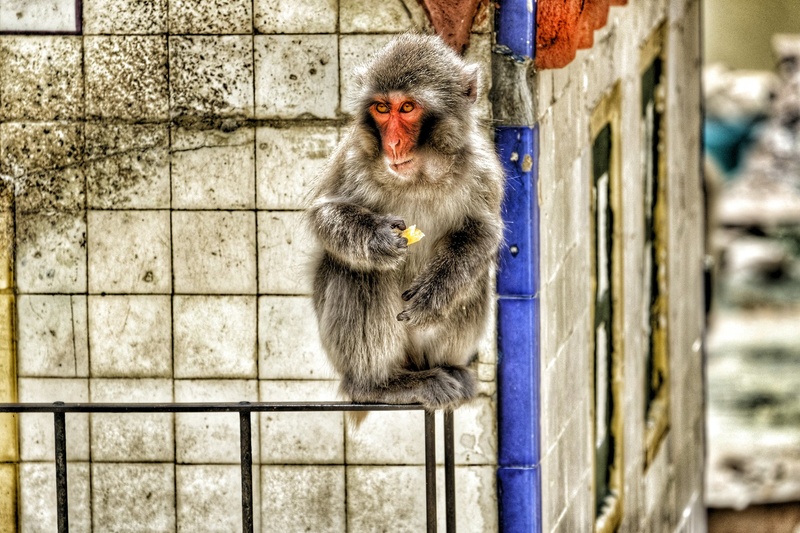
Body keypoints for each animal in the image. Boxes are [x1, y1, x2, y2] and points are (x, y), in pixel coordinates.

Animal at [306, 34, 504, 411]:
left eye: (408, 107)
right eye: (382, 109)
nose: (393, 144)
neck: (421, 176)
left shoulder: (482, 168)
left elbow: (482, 231)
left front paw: (436, 291)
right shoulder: (353, 156)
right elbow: (324, 215)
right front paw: (376, 238)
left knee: (475, 279)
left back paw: (449, 369)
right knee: (359, 271)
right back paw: (378, 384)